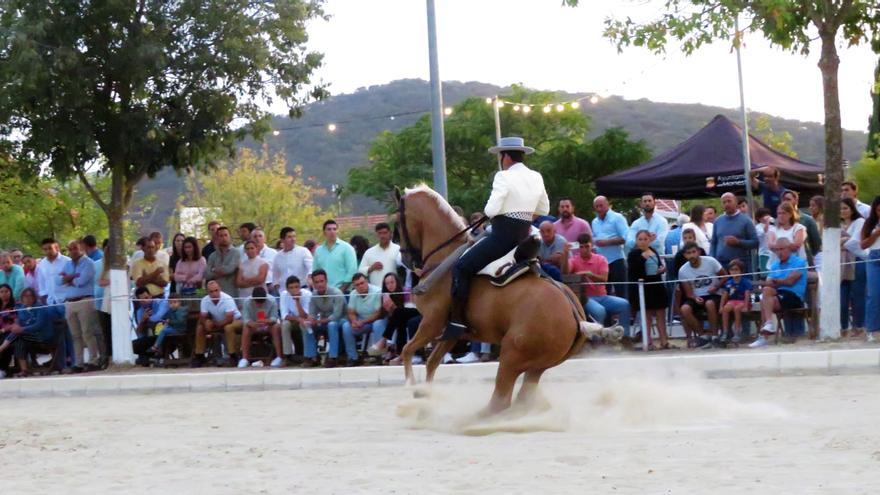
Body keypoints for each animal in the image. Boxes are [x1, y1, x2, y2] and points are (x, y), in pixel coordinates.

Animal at [400, 186, 600, 414]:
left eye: (398, 220)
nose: (405, 260)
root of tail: (575, 315)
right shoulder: (450, 332)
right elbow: (432, 362)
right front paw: (424, 394)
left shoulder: (431, 323)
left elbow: (407, 350)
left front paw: (410, 386)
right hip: (537, 366)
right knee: (523, 398)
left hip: (511, 356)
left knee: (501, 399)